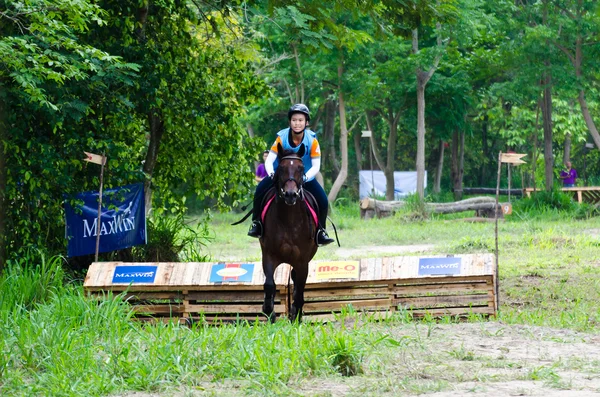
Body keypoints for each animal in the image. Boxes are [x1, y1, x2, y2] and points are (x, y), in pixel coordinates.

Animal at [262, 142, 318, 322]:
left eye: (301, 168)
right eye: (281, 168)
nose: (291, 195)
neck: (289, 219)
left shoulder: (302, 261)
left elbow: (300, 288)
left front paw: (296, 315)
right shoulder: (268, 255)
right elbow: (269, 284)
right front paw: (269, 312)